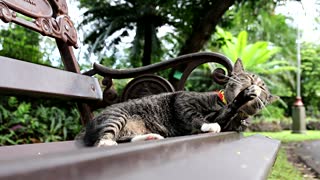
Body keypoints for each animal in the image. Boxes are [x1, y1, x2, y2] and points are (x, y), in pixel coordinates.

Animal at [77, 58, 278, 147]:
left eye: (264, 88)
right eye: (249, 77)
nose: (256, 85)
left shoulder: (225, 119)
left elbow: (225, 114)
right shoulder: (181, 99)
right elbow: (193, 115)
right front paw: (207, 125)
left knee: (122, 138)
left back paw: (149, 137)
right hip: (117, 116)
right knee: (102, 140)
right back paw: (108, 143)